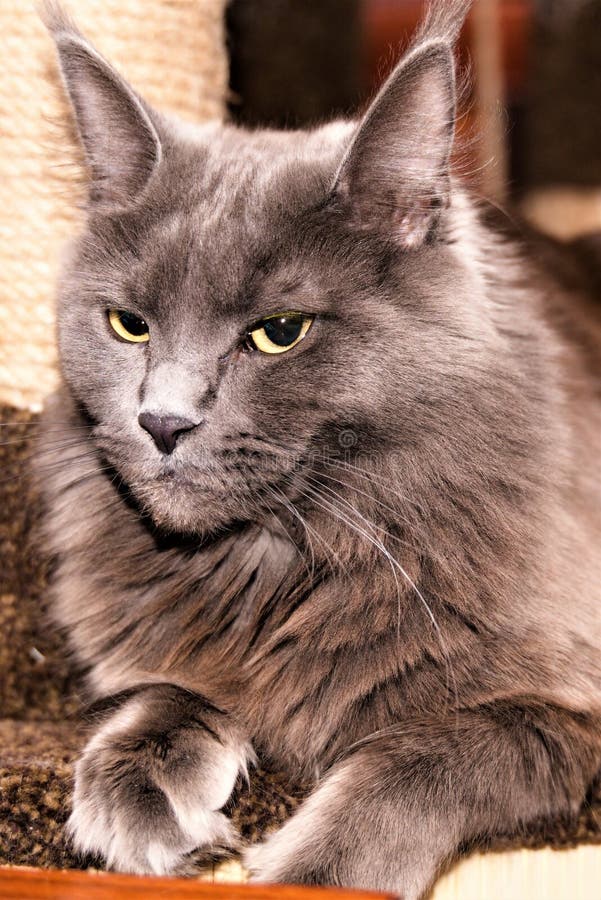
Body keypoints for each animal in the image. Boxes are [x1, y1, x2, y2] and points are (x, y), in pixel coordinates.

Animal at [38, 0, 600, 896]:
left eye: (279, 333)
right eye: (129, 324)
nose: (161, 422)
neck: (277, 560)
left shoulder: (556, 703)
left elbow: (419, 759)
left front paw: (308, 870)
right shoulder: (179, 660)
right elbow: (170, 694)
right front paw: (141, 800)